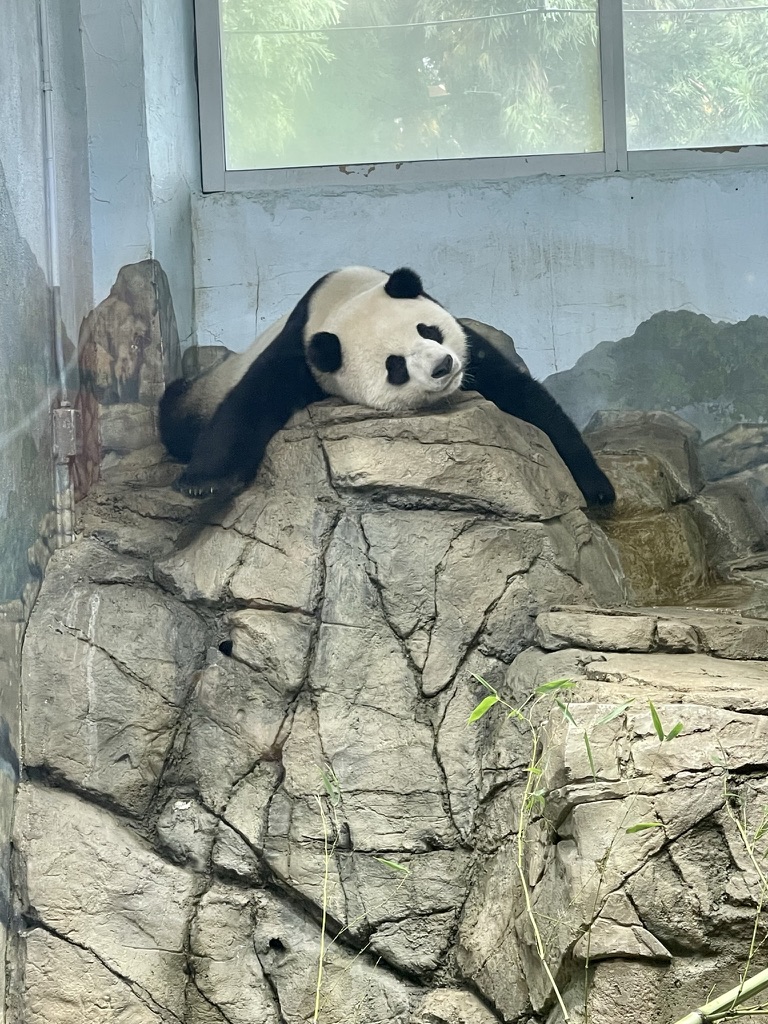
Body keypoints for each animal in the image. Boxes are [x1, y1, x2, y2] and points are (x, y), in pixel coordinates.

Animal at [159, 266, 615, 507]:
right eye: (395, 366)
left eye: (428, 330)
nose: (443, 367)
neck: (341, 299)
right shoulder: (298, 352)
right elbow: (249, 404)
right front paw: (202, 482)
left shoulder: (471, 351)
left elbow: (526, 397)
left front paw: (595, 488)